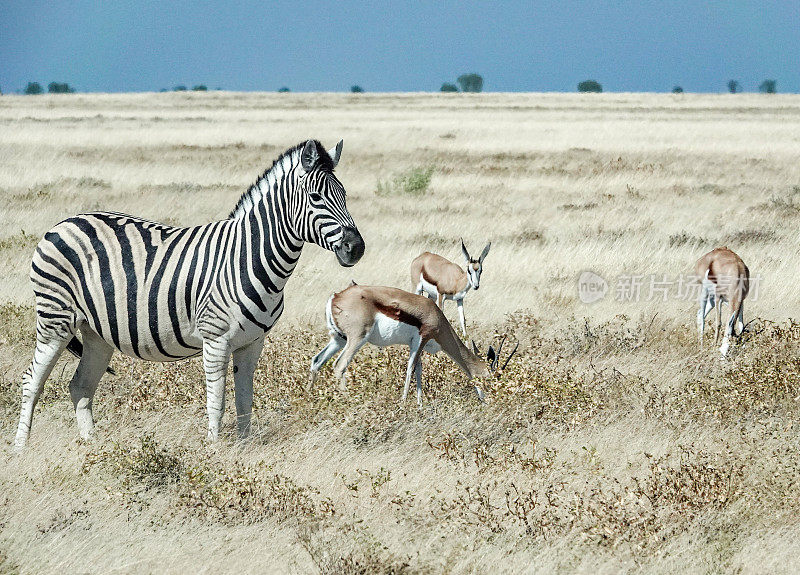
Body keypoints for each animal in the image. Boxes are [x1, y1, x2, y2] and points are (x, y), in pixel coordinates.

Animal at [14, 141, 364, 450]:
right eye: (316, 197)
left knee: (80, 385)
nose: (356, 248)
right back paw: (21, 450)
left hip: (96, 331)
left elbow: (245, 401)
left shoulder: (252, 343)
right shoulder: (216, 338)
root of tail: (64, 222)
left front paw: (244, 449)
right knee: (32, 381)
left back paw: (92, 448)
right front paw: (215, 451)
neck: (248, 257)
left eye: (344, 195)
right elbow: (217, 402)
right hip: (55, 319)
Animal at [306, 284, 512, 404]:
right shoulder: (421, 338)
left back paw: (310, 398)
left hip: (338, 339)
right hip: (356, 339)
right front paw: (404, 403)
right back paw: (349, 401)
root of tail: (336, 297)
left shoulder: (416, 345)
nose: (490, 400)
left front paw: (420, 404)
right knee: (339, 366)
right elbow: (410, 369)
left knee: (317, 361)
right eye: (490, 379)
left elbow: (419, 370)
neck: (435, 315)